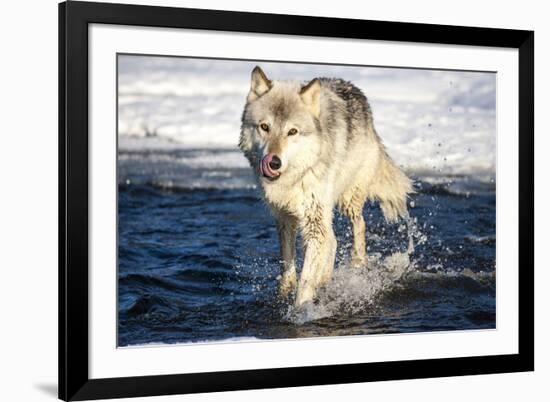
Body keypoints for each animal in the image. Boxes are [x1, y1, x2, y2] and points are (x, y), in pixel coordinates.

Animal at [238, 66, 414, 306]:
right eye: (264, 127)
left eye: (292, 131)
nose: (274, 162)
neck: (294, 178)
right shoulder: (285, 217)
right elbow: (288, 264)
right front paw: (285, 292)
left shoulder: (315, 221)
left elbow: (306, 279)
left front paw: (301, 309)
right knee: (333, 241)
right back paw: (325, 278)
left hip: (347, 199)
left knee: (358, 225)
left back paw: (357, 264)